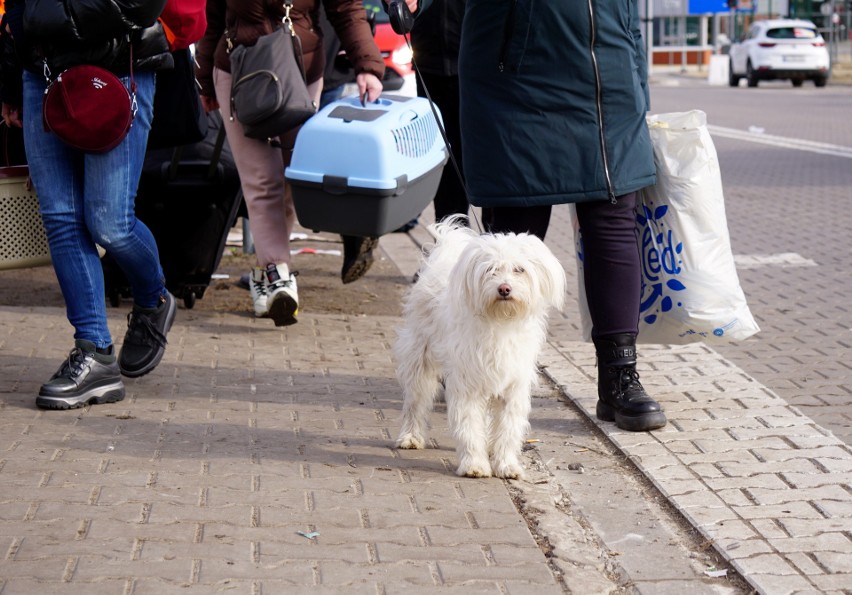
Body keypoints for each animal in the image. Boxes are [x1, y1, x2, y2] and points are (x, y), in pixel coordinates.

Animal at [394, 219, 564, 480]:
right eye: (490, 270)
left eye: (519, 269)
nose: (504, 289)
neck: (500, 322)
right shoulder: (467, 385)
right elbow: (469, 426)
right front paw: (474, 464)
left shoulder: (513, 388)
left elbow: (508, 429)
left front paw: (506, 465)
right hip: (419, 359)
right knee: (416, 402)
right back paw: (411, 436)